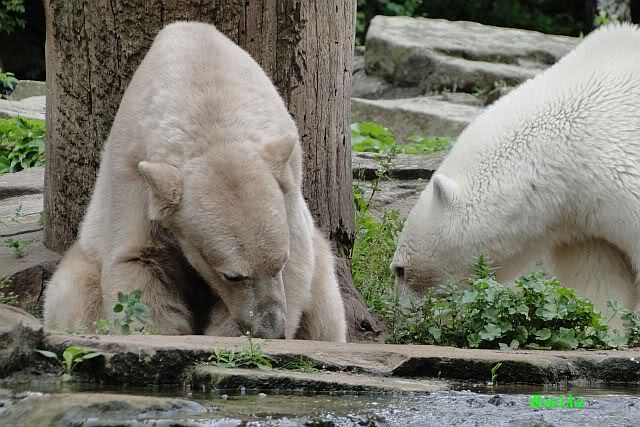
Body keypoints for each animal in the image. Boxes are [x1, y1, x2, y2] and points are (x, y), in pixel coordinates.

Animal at [43, 21, 347, 342]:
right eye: (232, 275)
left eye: (281, 262)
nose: (271, 329)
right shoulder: (133, 170)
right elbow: (138, 259)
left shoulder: (287, 181)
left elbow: (300, 261)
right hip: (86, 255)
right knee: (73, 292)